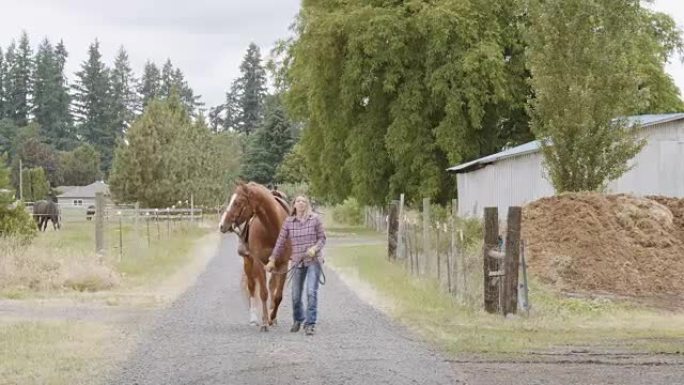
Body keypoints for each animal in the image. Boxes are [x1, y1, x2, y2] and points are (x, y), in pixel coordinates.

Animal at [219, 182, 292, 330]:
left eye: (238, 202)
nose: (222, 225)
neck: (272, 228)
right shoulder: (258, 262)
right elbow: (263, 293)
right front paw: (264, 322)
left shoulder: (283, 264)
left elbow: (278, 295)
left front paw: (272, 318)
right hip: (248, 261)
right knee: (252, 286)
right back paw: (254, 319)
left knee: (272, 286)